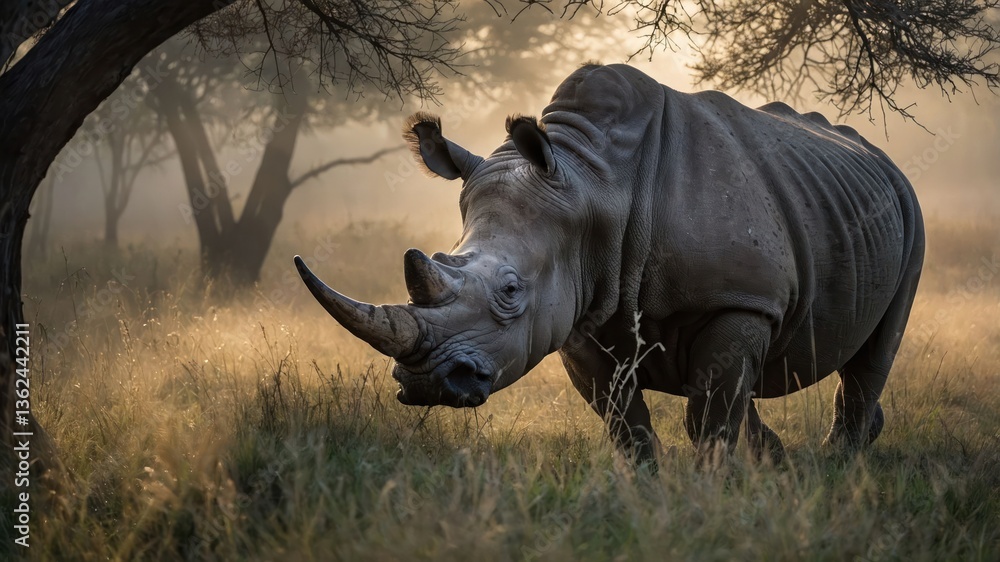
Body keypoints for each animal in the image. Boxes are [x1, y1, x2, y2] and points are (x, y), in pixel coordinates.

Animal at [295, 63, 924, 466]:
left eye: (510, 291)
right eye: (445, 259)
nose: (427, 380)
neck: (594, 184)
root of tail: (876, 154)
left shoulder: (739, 301)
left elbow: (711, 419)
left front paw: (711, 499)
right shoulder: (576, 311)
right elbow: (628, 424)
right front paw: (650, 494)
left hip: (908, 207)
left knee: (872, 355)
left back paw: (836, 468)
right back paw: (783, 465)